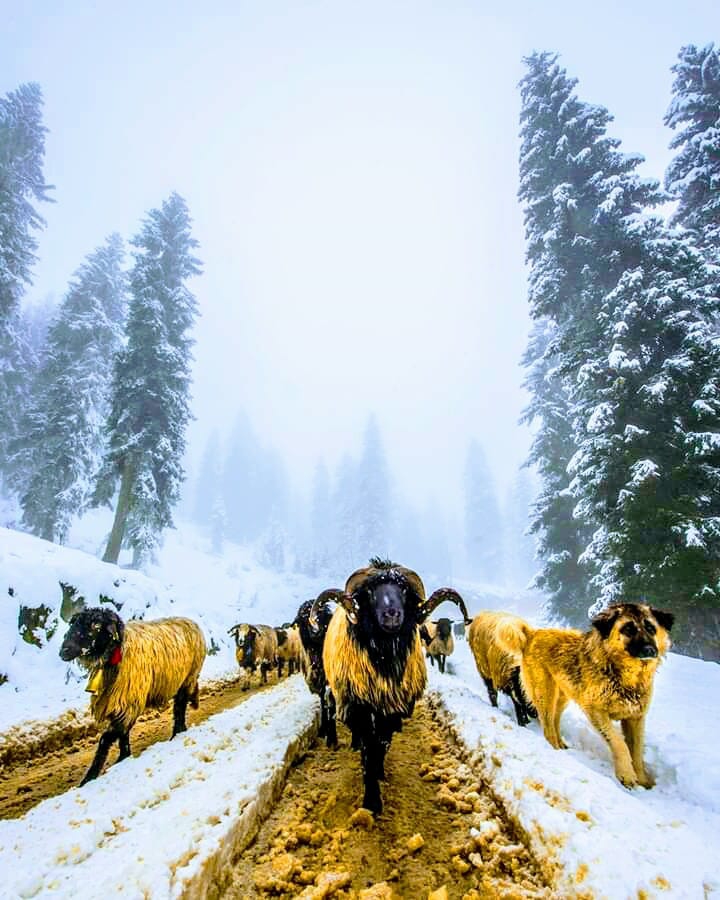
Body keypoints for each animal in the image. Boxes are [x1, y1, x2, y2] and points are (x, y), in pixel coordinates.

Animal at [59, 604, 207, 788]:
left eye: (96, 626)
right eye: (73, 624)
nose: (63, 650)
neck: (117, 653)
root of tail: (191, 622)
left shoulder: (129, 703)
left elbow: (106, 738)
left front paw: (89, 778)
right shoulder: (119, 704)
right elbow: (122, 736)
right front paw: (123, 758)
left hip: (187, 680)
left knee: (179, 709)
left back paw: (177, 734)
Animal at [294, 592, 338, 744]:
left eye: (321, 613)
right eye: (302, 619)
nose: (315, 632)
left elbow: (330, 700)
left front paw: (332, 737)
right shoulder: (318, 680)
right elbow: (323, 701)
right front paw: (324, 730)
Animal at [310, 556, 472, 816]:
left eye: (403, 591)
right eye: (370, 593)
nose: (392, 614)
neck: (385, 655)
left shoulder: (392, 706)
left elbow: (382, 744)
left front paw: (379, 772)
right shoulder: (361, 705)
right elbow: (368, 747)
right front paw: (372, 801)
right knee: (332, 710)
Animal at [498, 604, 672, 788]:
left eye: (651, 628)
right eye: (628, 629)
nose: (649, 650)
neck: (625, 677)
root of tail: (533, 633)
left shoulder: (636, 717)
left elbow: (637, 751)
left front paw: (643, 780)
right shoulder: (596, 711)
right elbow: (619, 743)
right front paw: (626, 775)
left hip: (562, 697)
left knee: (555, 721)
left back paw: (561, 745)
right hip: (545, 694)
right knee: (548, 726)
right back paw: (555, 750)